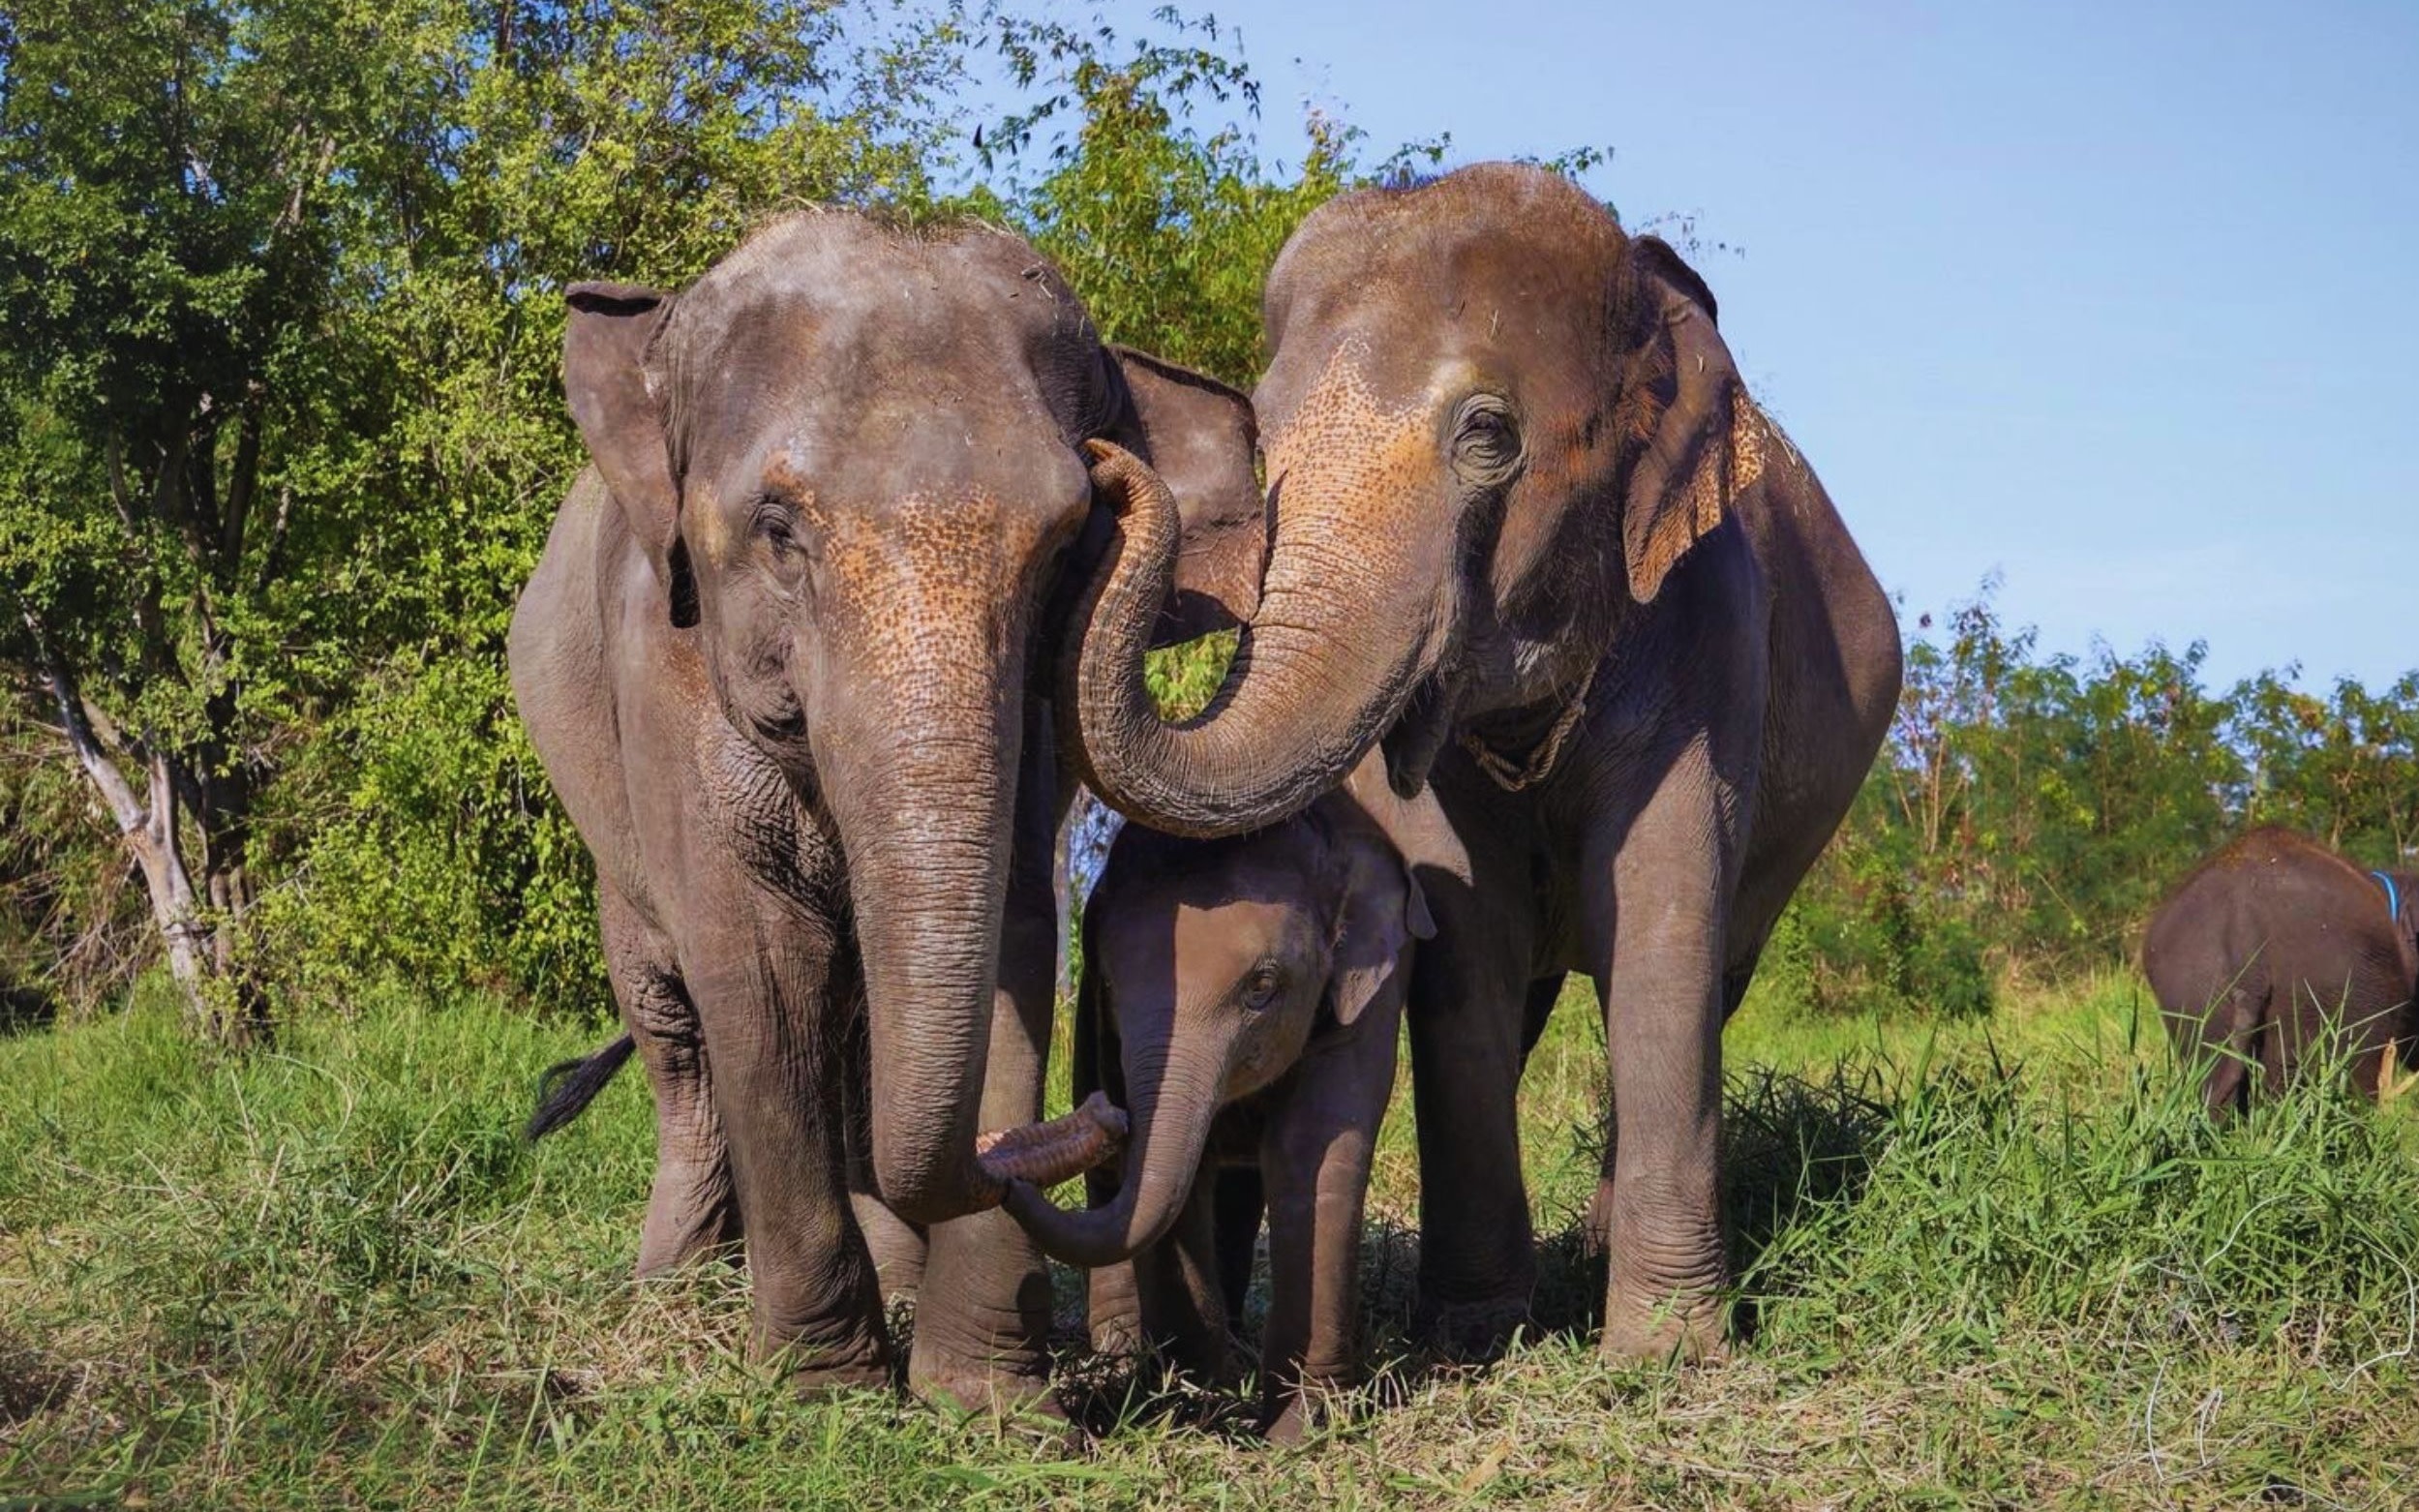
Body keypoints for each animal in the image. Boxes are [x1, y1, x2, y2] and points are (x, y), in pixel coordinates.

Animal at [506, 208, 1263, 1409]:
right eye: (777, 528)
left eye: (1068, 540)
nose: (1099, 1117)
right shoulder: (663, 663)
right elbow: (755, 962)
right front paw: (822, 1390)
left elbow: (1013, 941)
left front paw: (994, 1404)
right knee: (676, 1025)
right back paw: (675, 1288)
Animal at [1000, 754, 1449, 1440]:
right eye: (1110, 983)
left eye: (1262, 987)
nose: (1106, 1113)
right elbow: (1182, 1180)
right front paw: (1191, 1401)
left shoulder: (1372, 988)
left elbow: (1313, 1150)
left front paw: (1298, 1430)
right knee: (1119, 1187)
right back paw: (1124, 1352)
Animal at [1055, 162, 1904, 1362]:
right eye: (1265, 440)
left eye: (1489, 433)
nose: (1104, 458)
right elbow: (1465, 932)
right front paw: (1471, 1334)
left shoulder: (1713, 618)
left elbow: (1665, 915)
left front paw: (1665, 1354)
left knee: (1714, 970)